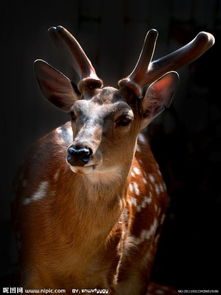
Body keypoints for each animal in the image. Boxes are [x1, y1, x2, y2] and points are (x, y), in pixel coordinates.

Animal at [13, 26, 214, 294]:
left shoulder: (107, 276)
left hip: (144, 264)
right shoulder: (29, 268)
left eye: (125, 118)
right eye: (74, 112)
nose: (79, 152)